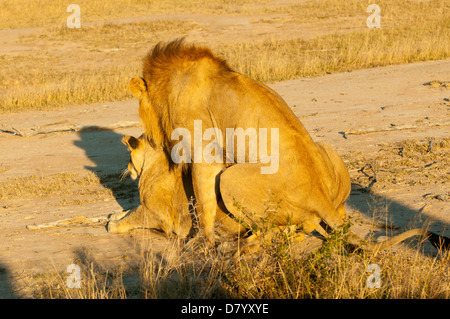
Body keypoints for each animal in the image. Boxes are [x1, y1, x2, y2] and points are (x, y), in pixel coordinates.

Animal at [128, 38, 448, 252]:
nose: (148, 138)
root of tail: (318, 196)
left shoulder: (205, 153)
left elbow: (203, 202)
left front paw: (201, 244)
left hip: (231, 178)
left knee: (275, 232)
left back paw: (241, 246)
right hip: (325, 151)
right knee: (329, 218)